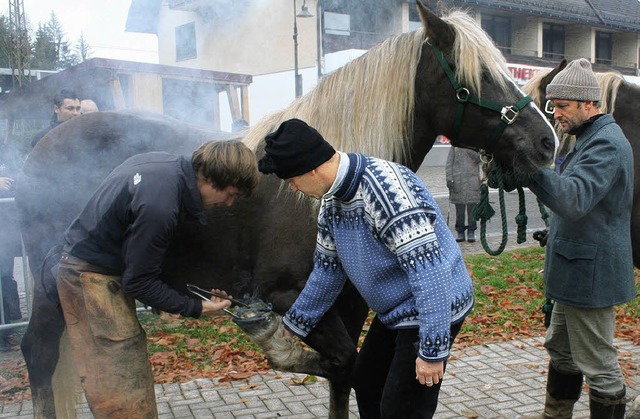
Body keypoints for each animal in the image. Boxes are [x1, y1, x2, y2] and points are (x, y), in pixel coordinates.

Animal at [13, 4, 556, 419]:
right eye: (474, 78)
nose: (546, 143)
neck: (324, 185)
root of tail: (41, 147)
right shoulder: (288, 294)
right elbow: (339, 364)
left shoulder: (348, 301)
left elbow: (345, 378)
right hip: (54, 282)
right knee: (38, 354)